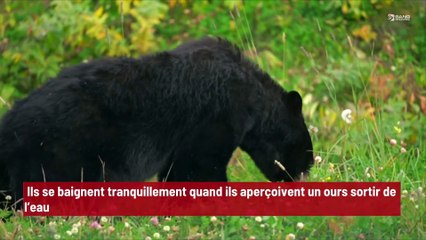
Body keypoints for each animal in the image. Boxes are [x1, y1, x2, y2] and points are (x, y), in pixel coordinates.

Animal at [0, 37, 312, 202]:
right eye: (304, 148)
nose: (305, 173)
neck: (250, 97)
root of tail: (9, 126)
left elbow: (178, 172)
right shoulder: (215, 117)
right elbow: (199, 166)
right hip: (63, 152)